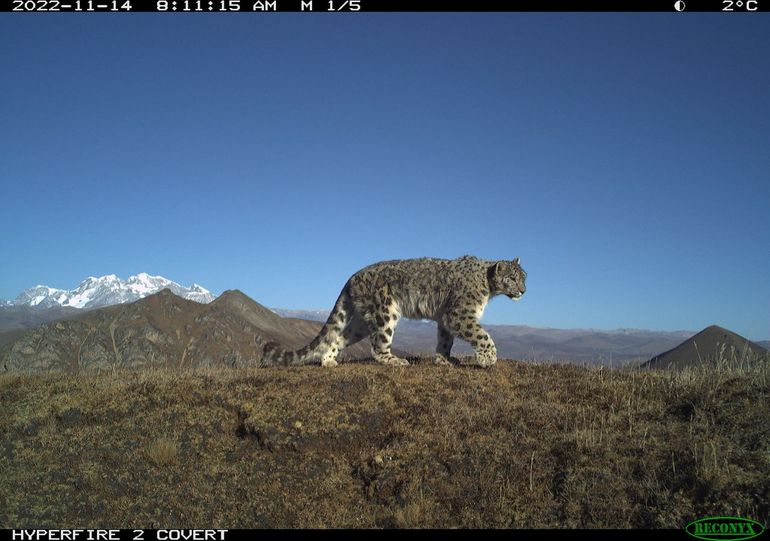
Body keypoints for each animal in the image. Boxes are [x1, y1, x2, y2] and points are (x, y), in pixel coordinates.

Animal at [256, 254, 520, 368]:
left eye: (524, 277)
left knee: (338, 337)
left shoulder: (446, 318)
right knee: (378, 346)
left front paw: (444, 359)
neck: (488, 289)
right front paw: (488, 358)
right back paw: (396, 361)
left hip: (362, 322)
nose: (523, 291)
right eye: (513, 278)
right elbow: (482, 335)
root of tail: (352, 277)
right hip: (385, 311)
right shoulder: (460, 314)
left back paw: (329, 361)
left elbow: (445, 340)